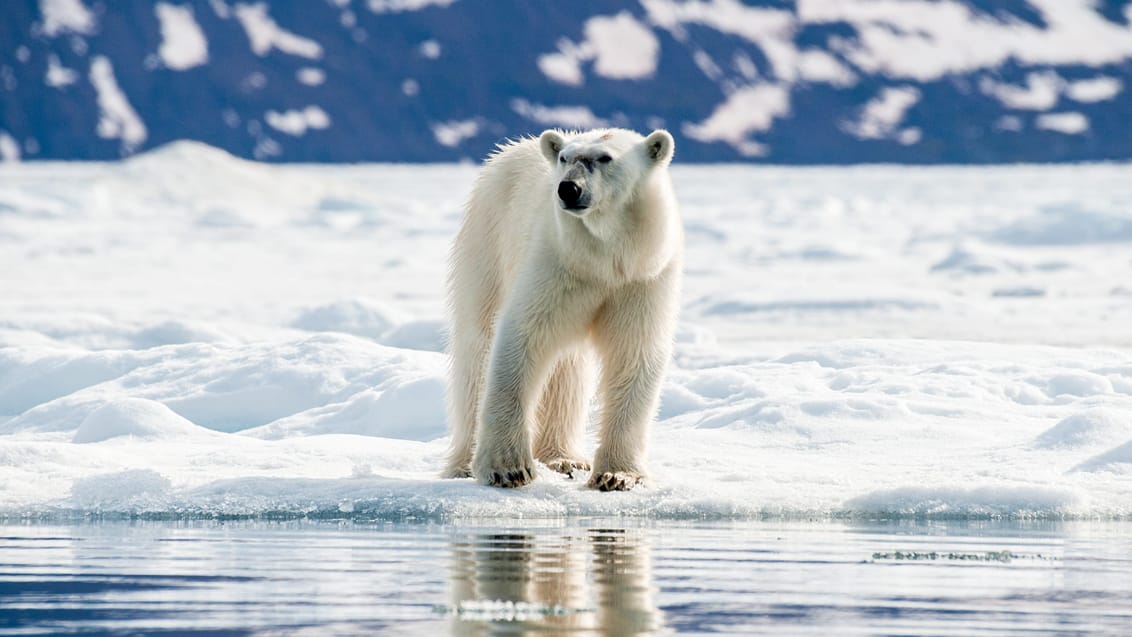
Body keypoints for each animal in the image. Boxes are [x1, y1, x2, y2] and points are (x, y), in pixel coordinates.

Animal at [441, 127, 679, 491]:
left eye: (605, 158)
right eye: (565, 158)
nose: (568, 188)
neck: (603, 262)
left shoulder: (642, 278)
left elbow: (633, 352)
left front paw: (617, 475)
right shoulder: (556, 264)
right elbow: (523, 337)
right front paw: (508, 469)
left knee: (567, 371)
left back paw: (564, 457)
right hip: (487, 241)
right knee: (475, 348)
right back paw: (462, 464)